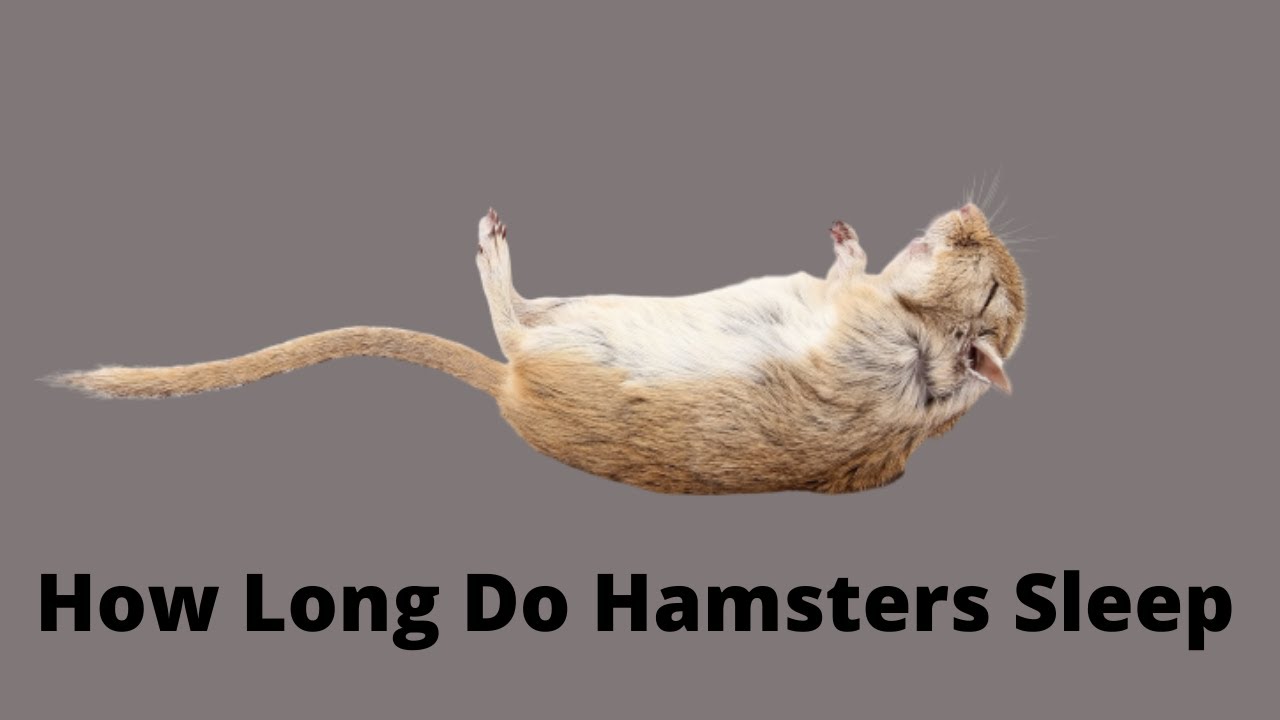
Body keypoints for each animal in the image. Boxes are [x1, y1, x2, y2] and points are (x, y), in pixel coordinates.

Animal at [50, 204, 1026, 494]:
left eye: (990, 297)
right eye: (992, 266)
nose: (969, 212)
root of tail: (506, 387)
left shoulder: (852, 322)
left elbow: (841, 287)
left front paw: (852, 250)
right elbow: (845, 268)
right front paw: (850, 232)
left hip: (572, 338)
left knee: (507, 318)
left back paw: (489, 245)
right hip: (581, 313)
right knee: (518, 315)